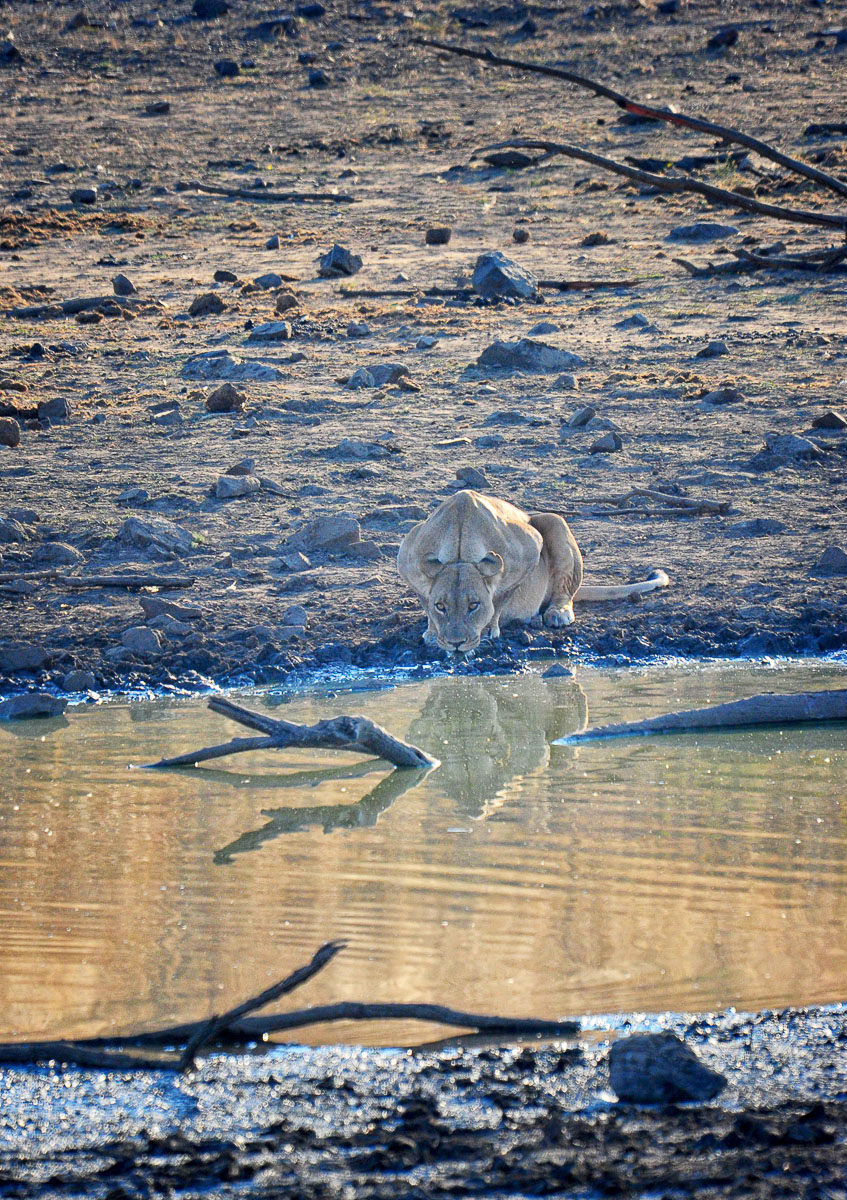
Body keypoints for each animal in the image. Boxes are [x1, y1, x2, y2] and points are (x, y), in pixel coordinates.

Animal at [397, 490, 669, 653]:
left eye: (474, 605)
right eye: (441, 606)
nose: (455, 644)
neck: (460, 550)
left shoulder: (529, 546)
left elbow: (500, 597)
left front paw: (489, 630)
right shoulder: (406, 553)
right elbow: (425, 600)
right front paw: (433, 633)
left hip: (553, 520)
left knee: (565, 590)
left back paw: (555, 613)